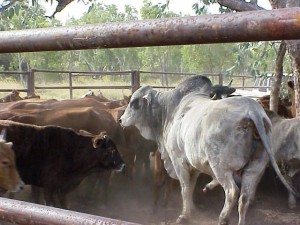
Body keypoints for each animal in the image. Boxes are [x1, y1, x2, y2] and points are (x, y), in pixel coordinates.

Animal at [119, 75, 296, 225]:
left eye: (134, 103)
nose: (120, 120)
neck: (168, 111)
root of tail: (254, 111)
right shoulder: (195, 165)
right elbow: (191, 187)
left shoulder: (178, 161)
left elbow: (185, 188)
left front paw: (184, 216)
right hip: (255, 168)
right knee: (244, 198)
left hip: (221, 167)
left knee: (232, 192)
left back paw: (223, 218)